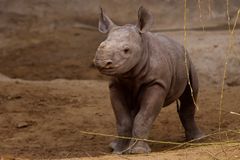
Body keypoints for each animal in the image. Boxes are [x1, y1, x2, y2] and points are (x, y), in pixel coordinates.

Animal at [93, 6, 203, 154]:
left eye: (126, 50)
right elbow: (123, 120)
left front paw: (138, 151)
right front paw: (119, 151)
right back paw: (114, 145)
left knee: (190, 95)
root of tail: (179, 44)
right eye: (101, 45)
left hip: (189, 63)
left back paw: (197, 139)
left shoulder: (156, 83)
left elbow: (144, 117)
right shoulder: (116, 85)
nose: (103, 63)